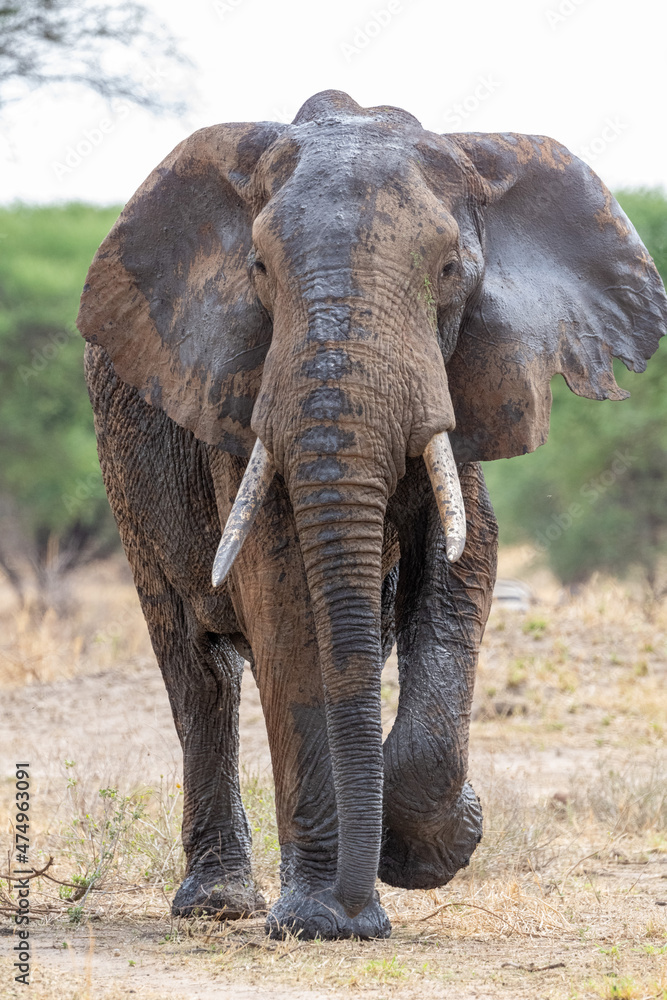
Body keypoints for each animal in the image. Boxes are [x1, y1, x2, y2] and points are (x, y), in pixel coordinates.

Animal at [77, 90, 667, 940]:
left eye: (449, 272)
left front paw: (430, 852)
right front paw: (322, 922)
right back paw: (217, 904)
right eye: (259, 270)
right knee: (198, 668)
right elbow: (283, 599)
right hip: (125, 472)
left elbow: (463, 567)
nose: (361, 909)